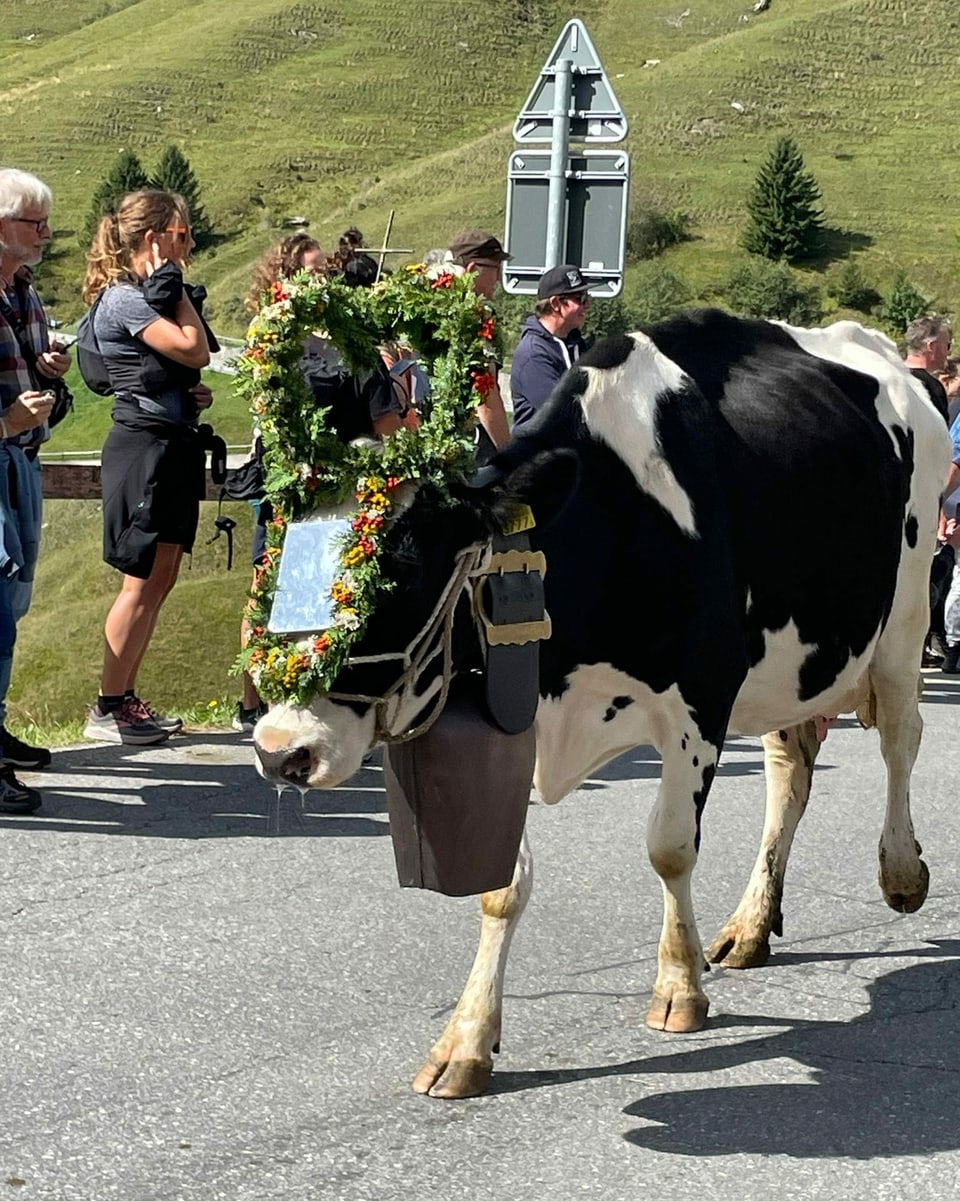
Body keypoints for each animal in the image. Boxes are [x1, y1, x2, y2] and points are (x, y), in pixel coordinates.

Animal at [251, 307, 951, 1100]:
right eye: (276, 555)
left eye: (402, 571)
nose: (280, 749)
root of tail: (885, 353)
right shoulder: (520, 719)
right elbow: (501, 886)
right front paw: (467, 1039)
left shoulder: (701, 699)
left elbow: (670, 846)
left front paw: (678, 986)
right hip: (795, 660)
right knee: (790, 770)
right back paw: (750, 923)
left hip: (902, 620)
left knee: (900, 738)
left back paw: (902, 873)